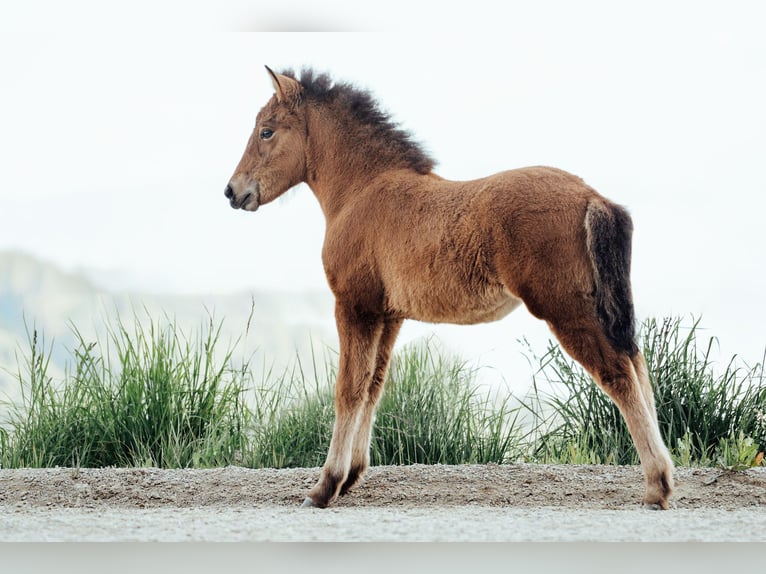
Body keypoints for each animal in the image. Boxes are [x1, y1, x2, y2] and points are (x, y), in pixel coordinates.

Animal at [224, 66, 674, 510]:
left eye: (266, 131)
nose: (232, 190)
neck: (362, 191)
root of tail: (592, 196)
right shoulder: (388, 315)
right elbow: (373, 387)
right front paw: (351, 476)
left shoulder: (354, 305)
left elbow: (348, 390)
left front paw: (325, 486)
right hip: (598, 305)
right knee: (637, 364)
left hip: (565, 308)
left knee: (618, 373)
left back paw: (657, 486)